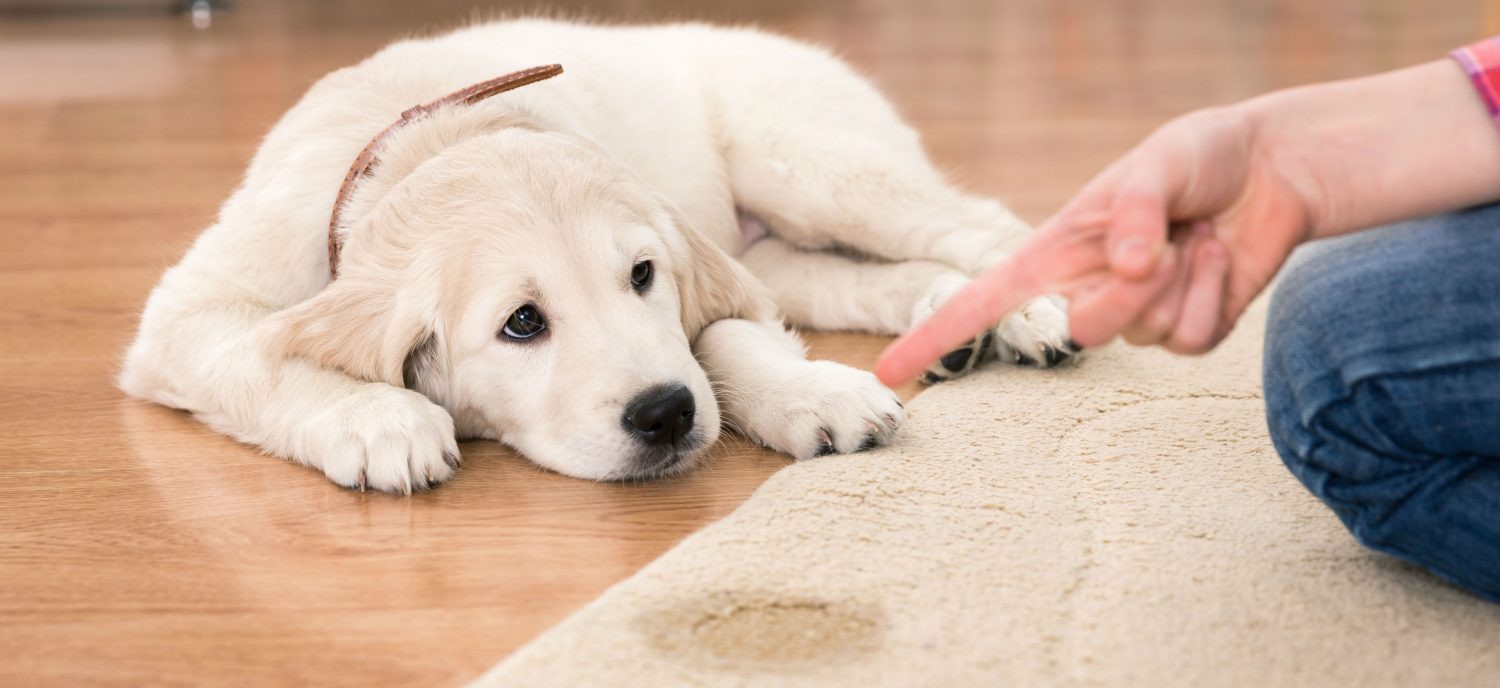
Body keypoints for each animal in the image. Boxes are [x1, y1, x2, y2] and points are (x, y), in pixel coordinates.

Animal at [123, 18, 1074, 491]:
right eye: (522, 323)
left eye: (642, 276)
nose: (666, 416)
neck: (430, 137)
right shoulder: (186, 315)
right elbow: (258, 357)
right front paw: (378, 419)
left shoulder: (705, 273)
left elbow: (725, 339)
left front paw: (811, 393)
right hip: (783, 241)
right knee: (858, 276)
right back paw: (949, 321)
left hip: (810, 162)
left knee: (978, 222)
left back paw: (1030, 312)